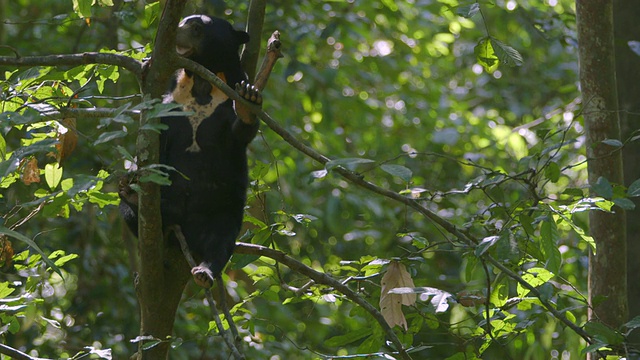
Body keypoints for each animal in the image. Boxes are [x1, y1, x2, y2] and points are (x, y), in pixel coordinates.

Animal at [119, 15, 262, 288]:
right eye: (183, 21)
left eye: (196, 28)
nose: (171, 34)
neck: (201, 83)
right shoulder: (171, 102)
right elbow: (156, 135)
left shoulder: (226, 99)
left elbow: (240, 132)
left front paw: (249, 99)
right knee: (130, 211)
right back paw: (135, 198)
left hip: (224, 209)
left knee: (220, 242)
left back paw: (204, 272)